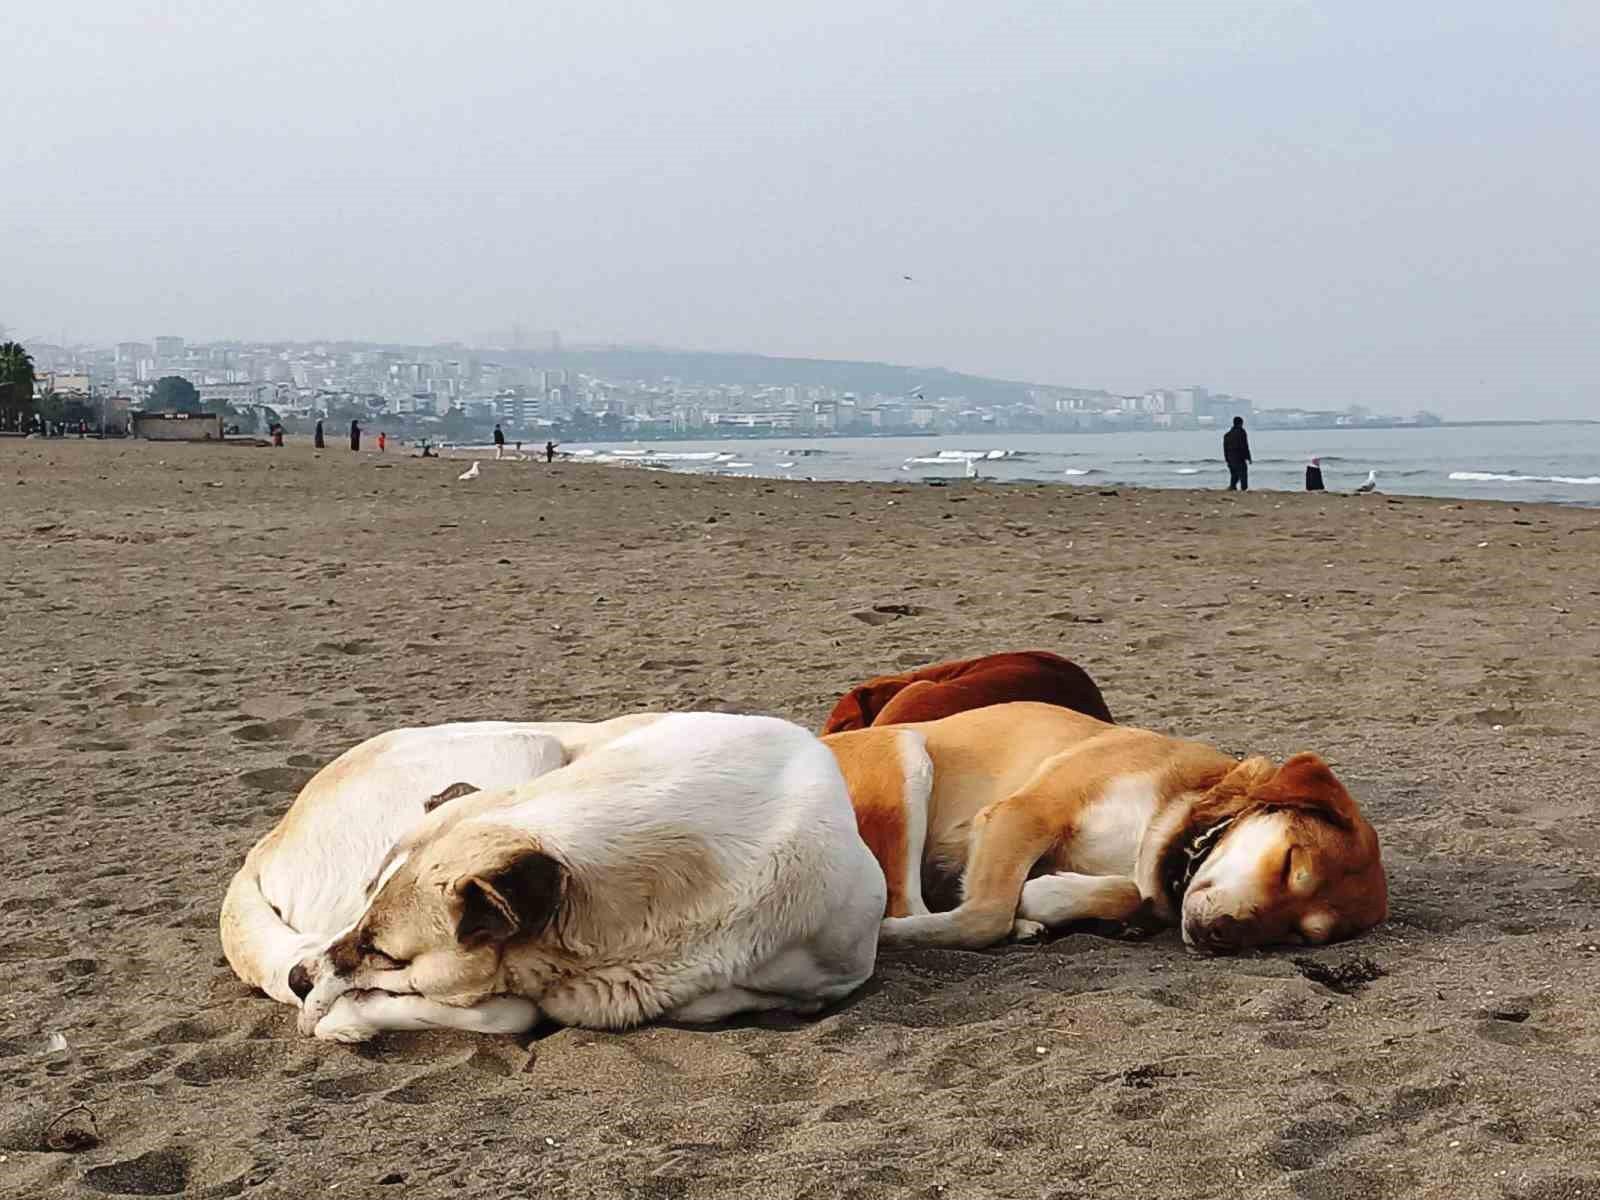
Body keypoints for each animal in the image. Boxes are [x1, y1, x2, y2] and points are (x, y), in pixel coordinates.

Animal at [825, 704, 1388, 960]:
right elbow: (983, 916)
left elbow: (1129, 891)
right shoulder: (1023, 813)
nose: (1223, 935)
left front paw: (1046, 898)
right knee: (906, 903)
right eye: (1292, 864)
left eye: (1302, 934)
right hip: (906, 757)